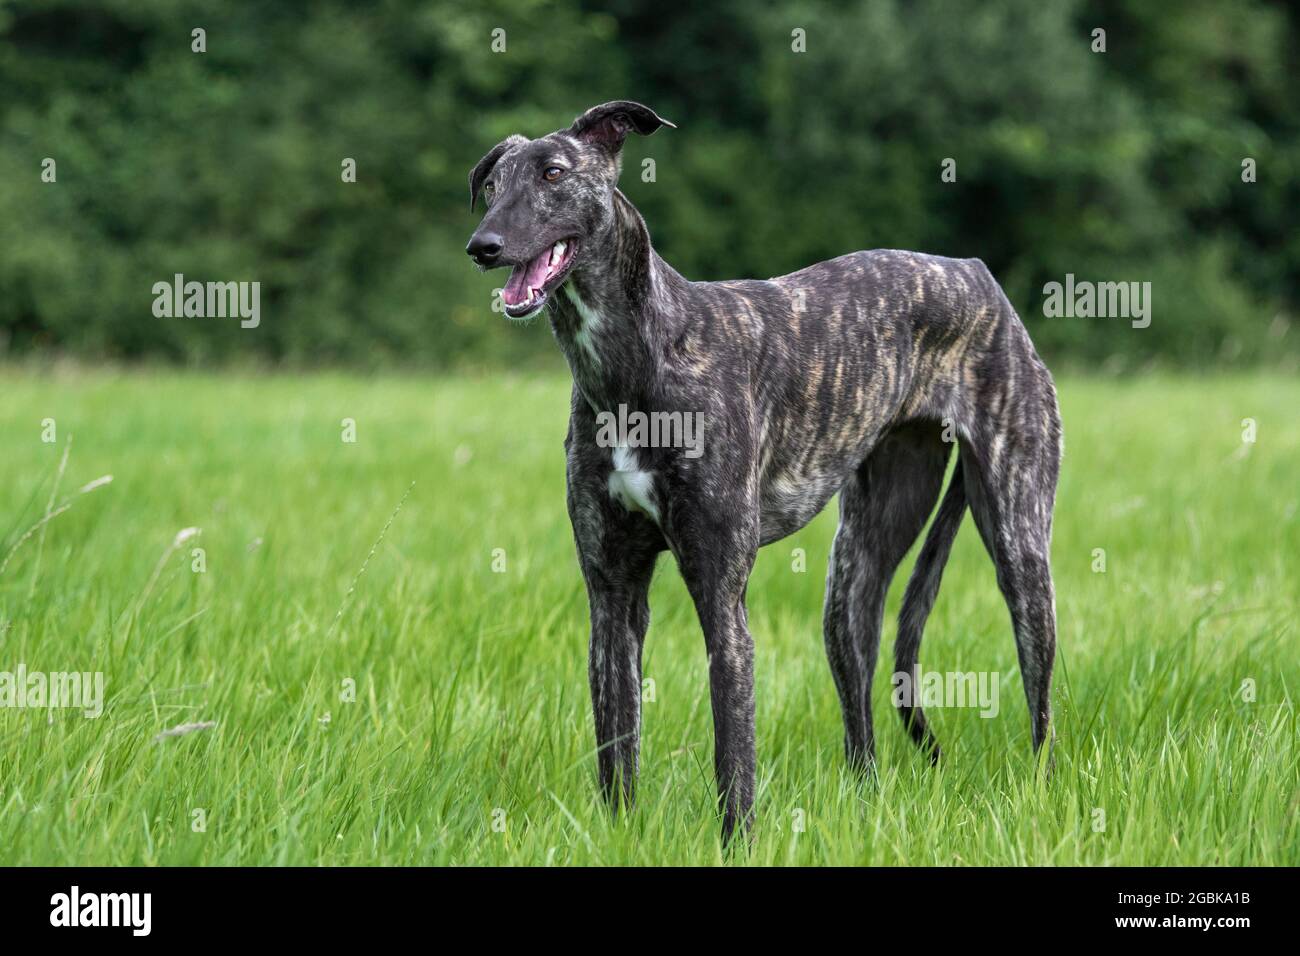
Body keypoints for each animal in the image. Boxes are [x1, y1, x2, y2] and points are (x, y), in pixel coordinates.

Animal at [467, 100, 1066, 842]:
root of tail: (978, 274)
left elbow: (734, 749)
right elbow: (617, 747)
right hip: (854, 573)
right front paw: (617, 834)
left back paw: (1041, 794)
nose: (483, 245)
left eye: (553, 172)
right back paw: (865, 801)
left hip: (1020, 546)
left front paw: (737, 842)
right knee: (859, 701)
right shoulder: (610, 592)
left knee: (1040, 702)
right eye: (493, 183)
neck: (640, 356)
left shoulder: (722, 593)